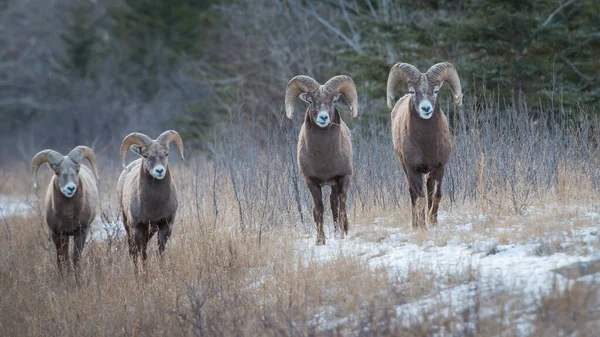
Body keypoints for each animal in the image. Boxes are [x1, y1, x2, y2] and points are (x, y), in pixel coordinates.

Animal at [116, 129, 184, 268]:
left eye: (166, 154)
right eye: (146, 155)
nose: (159, 170)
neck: (154, 205)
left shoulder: (165, 227)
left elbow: (160, 252)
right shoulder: (138, 228)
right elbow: (143, 254)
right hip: (128, 226)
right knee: (133, 252)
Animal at [284, 74, 358, 244]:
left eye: (334, 101)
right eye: (311, 101)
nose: (323, 118)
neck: (324, 158)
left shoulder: (344, 178)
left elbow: (341, 205)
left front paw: (341, 235)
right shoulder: (311, 182)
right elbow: (319, 208)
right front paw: (320, 240)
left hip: (334, 185)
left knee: (335, 204)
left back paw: (340, 232)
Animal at [384, 61, 464, 228]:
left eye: (436, 91)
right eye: (412, 91)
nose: (426, 108)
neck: (427, 145)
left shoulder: (439, 168)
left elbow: (436, 196)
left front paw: (433, 223)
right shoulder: (413, 169)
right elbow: (420, 198)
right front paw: (421, 226)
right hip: (407, 169)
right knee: (413, 194)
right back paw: (415, 224)